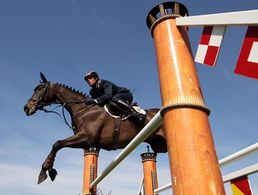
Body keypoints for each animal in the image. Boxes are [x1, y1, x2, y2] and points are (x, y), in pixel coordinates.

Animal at [23, 72, 166, 184]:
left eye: (40, 88)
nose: (26, 108)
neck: (83, 109)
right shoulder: (86, 143)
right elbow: (59, 145)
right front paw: (48, 170)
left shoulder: (85, 137)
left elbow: (57, 144)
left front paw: (45, 170)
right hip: (160, 146)